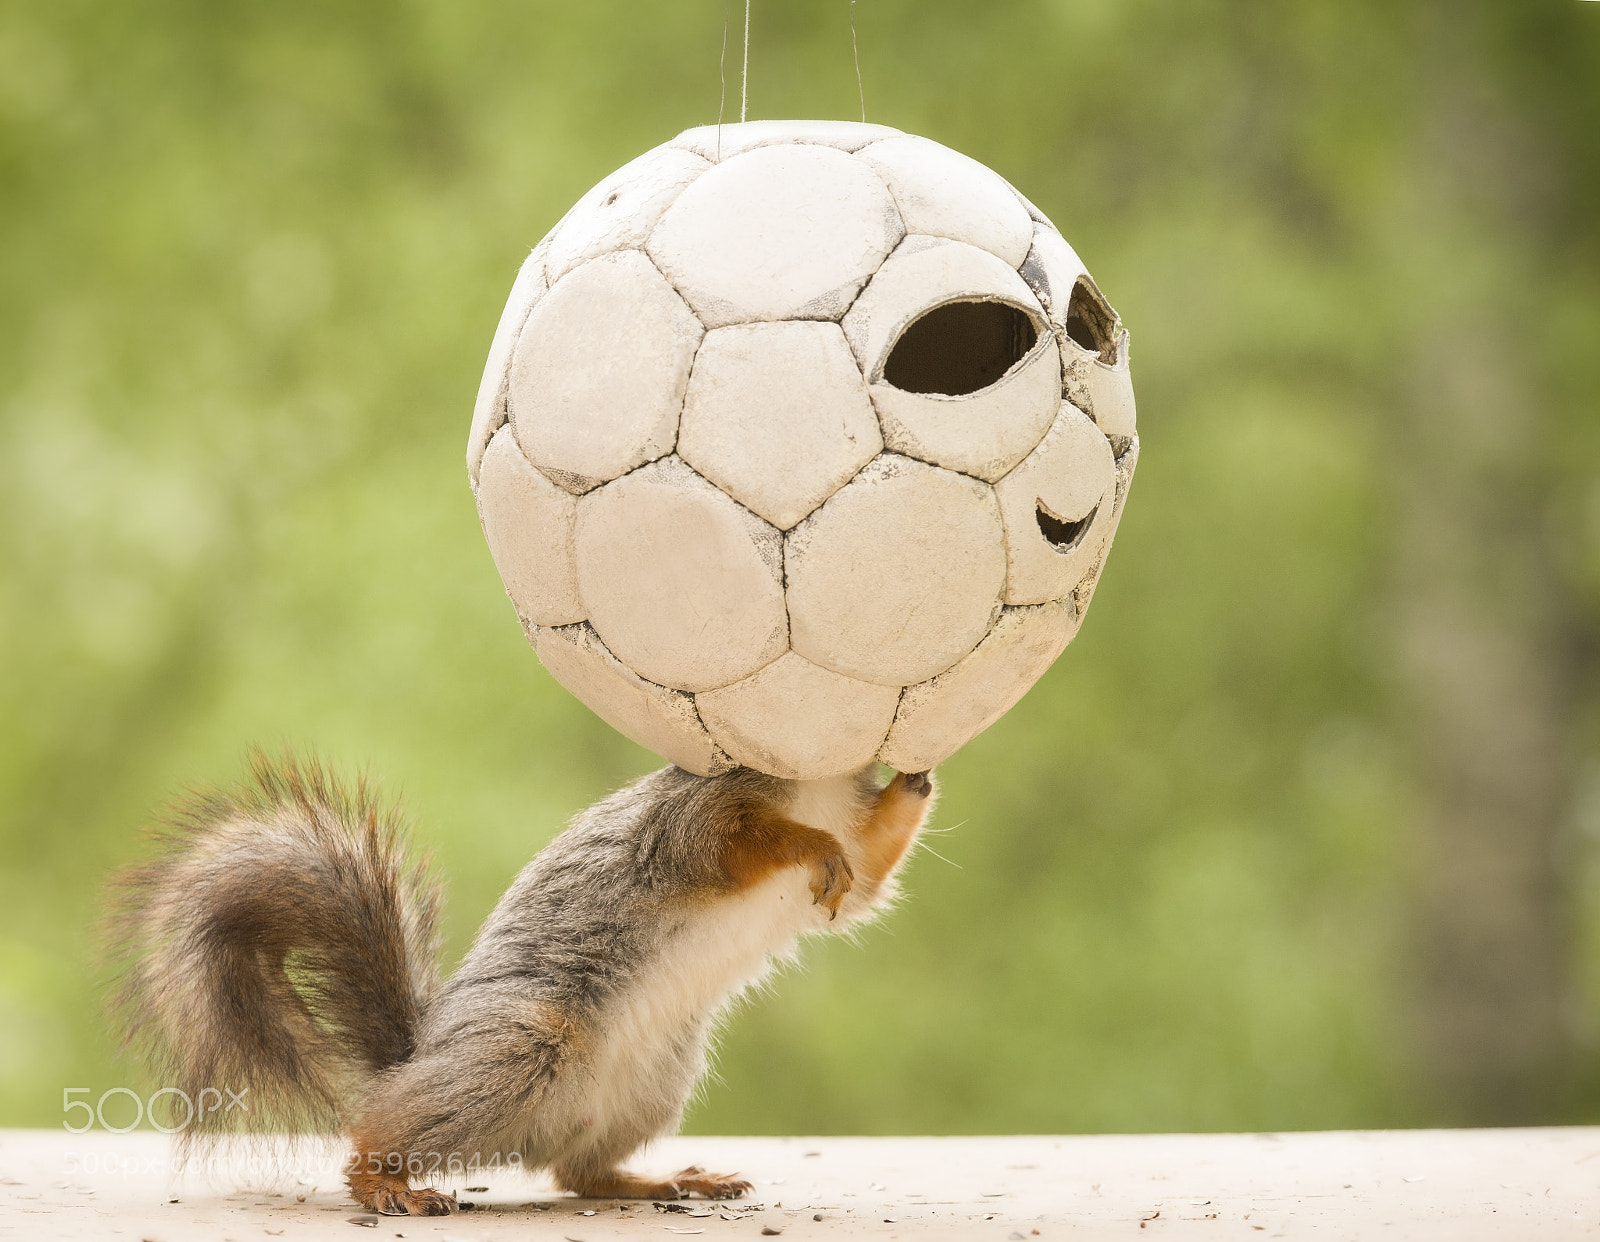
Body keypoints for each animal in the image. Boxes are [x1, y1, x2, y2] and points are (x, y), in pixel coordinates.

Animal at [107, 752, 934, 1216]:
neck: (820, 789)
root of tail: (420, 1055)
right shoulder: (692, 820)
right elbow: (737, 844)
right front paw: (814, 840)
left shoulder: (853, 860)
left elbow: (868, 874)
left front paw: (916, 781)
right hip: (525, 1046)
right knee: (379, 1130)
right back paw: (385, 1183)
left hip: (655, 1078)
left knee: (580, 1175)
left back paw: (667, 1183)